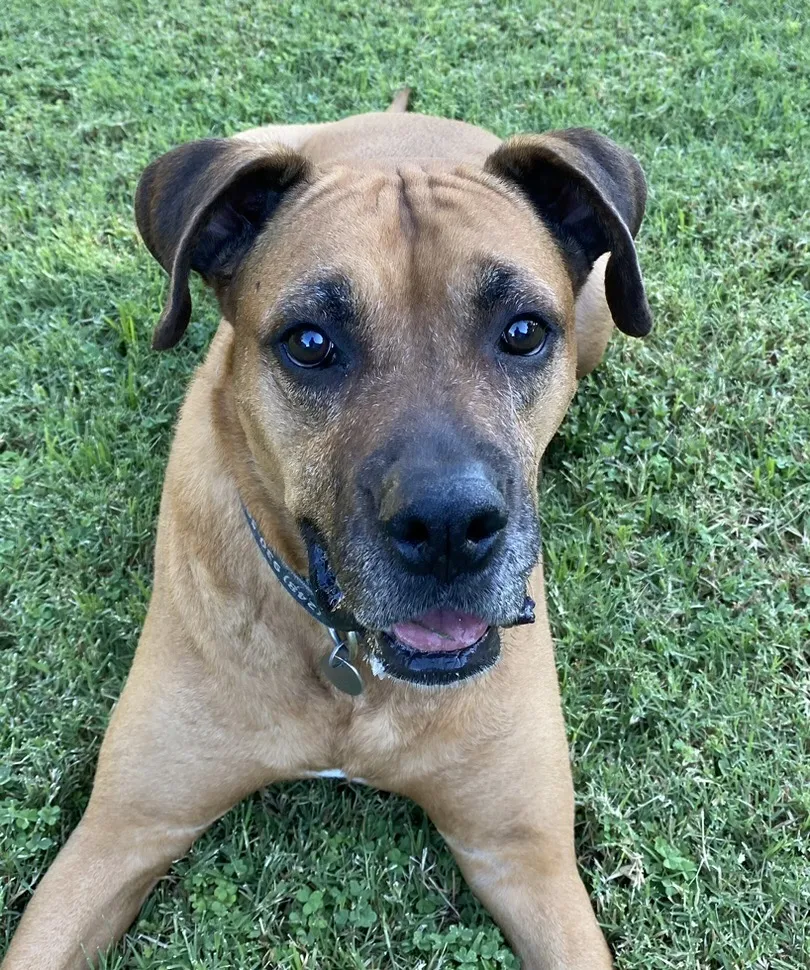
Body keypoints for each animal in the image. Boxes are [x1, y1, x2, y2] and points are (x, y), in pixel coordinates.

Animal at [4, 92, 652, 968]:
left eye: (522, 332)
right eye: (310, 343)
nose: (449, 526)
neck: (350, 663)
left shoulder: (526, 857)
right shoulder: (122, 830)